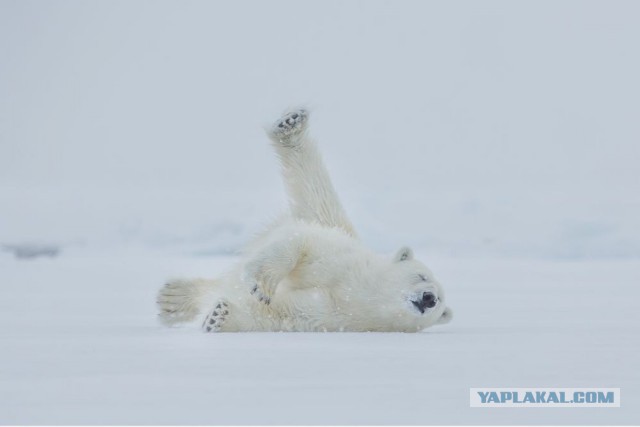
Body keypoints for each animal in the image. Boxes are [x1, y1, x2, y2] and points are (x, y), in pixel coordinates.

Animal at [157, 108, 452, 332]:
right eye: (422, 275)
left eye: (440, 303)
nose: (429, 298)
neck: (360, 291)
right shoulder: (340, 260)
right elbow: (303, 246)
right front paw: (261, 283)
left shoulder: (337, 316)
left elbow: (282, 314)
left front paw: (220, 316)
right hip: (327, 220)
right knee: (315, 190)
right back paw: (291, 126)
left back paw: (171, 300)